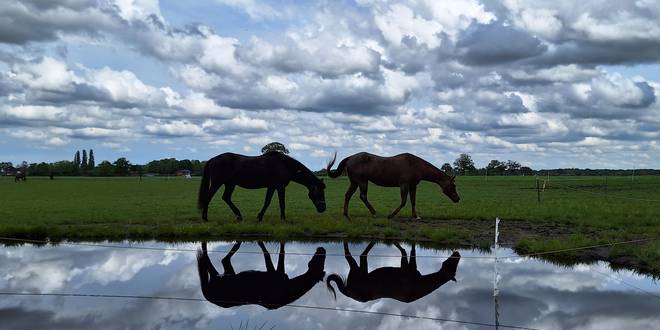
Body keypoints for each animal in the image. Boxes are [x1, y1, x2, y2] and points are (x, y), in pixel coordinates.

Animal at [199, 152, 328, 222]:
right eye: (320, 192)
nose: (323, 208)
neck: (284, 165)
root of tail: (212, 159)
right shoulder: (280, 186)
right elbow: (282, 203)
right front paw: (283, 219)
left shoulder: (272, 187)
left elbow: (267, 202)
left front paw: (259, 217)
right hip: (217, 183)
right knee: (208, 197)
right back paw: (205, 218)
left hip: (230, 184)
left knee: (226, 198)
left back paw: (239, 216)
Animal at [324, 153, 458, 220]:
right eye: (453, 186)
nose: (458, 198)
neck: (415, 165)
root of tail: (349, 158)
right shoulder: (404, 185)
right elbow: (403, 202)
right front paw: (391, 215)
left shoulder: (413, 186)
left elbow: (413, 201)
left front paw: (415, 216)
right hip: (362, 181)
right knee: (363, 196)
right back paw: (374, 212)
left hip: (354, 182)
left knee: (348, 195)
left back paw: (346, 214)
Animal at [328, 241, 462, 302]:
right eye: (451, 266)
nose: (458, 254)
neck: (417, 285)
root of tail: (347, 291)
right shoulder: (405, 267)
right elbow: (404, 251)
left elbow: (410, 251)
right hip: (358, 271)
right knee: (355, 255)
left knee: (361, 255)